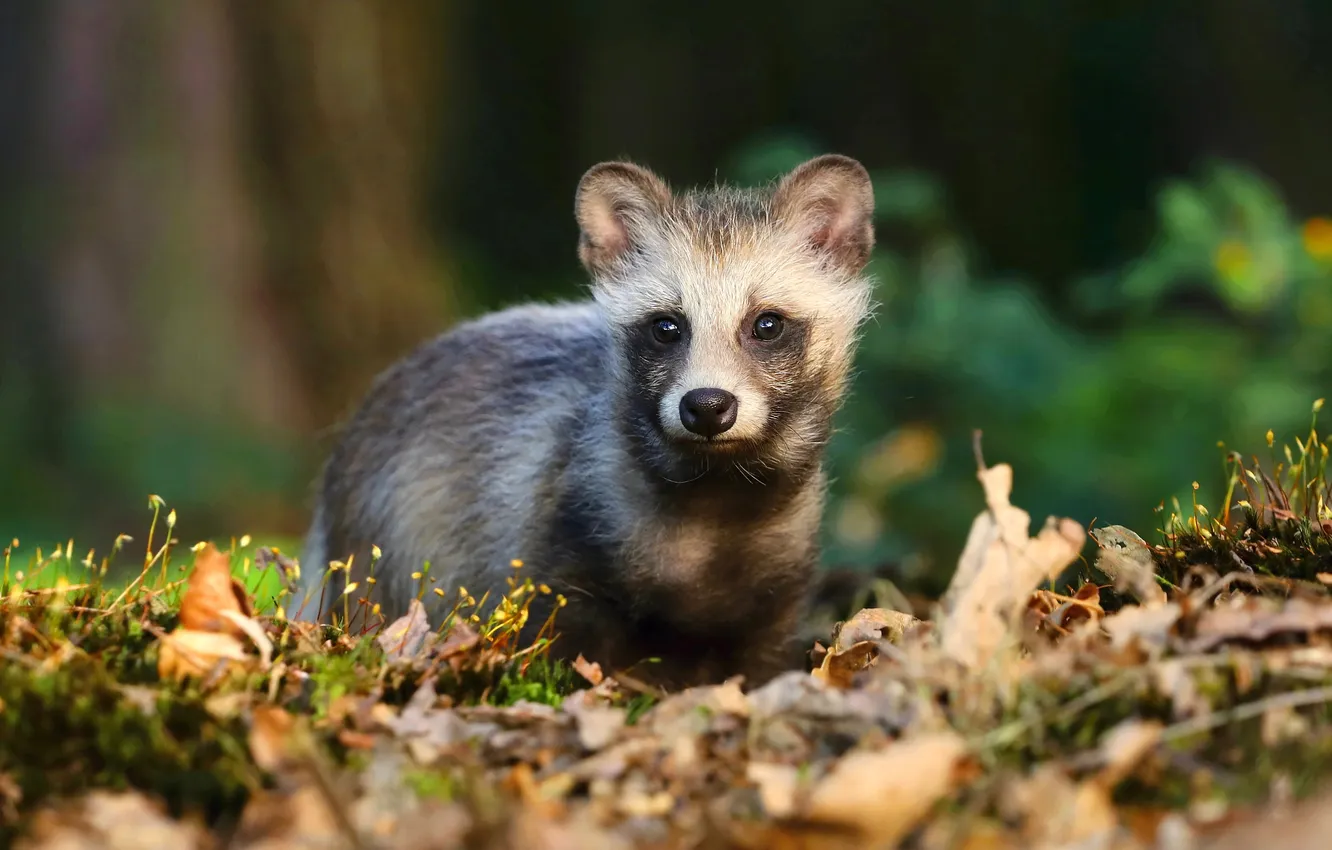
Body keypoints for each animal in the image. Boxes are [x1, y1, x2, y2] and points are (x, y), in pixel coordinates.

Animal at [298, 154, 876, 688]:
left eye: (767, 323)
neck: (716, 508)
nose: (708, 405)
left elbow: (761, 662)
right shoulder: (555, 541)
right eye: (666, 325)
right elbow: (557, 646)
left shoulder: (778, 582)